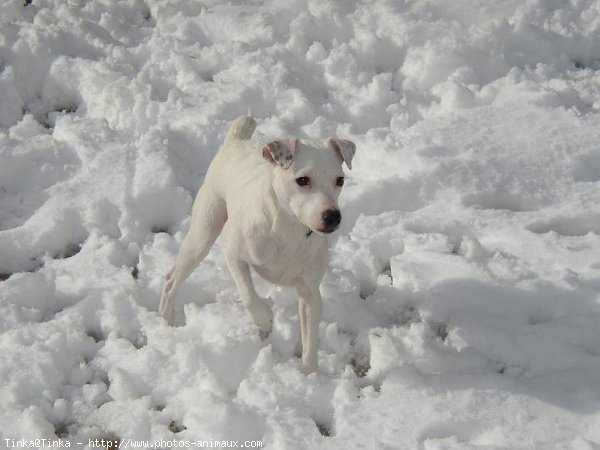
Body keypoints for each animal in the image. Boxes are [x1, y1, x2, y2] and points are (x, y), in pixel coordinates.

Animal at [159, 115, 356, 372]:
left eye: (340, 180)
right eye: (302, 180)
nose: (332, 216)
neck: (287, 229)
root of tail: (236, 141)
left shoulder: (310, 292)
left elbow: (310, 339)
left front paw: (309, 374)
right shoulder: (233, 254)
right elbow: (248, 295)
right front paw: (265, 318)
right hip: (203, 233)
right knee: (171, 279)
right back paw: (165, 323)